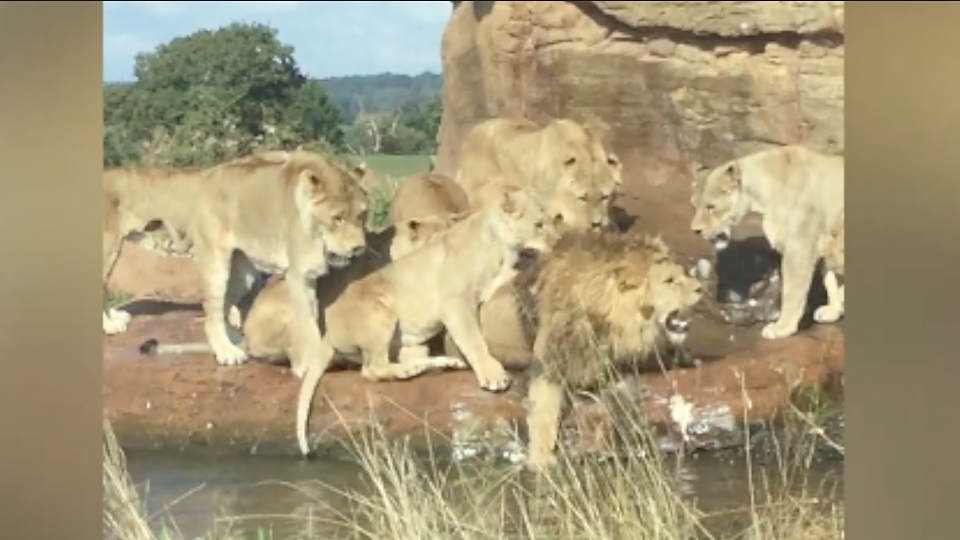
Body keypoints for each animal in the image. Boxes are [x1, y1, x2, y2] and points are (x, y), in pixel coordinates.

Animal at [295, 186, 562, 456]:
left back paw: (442, 363)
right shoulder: (456, 302)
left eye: (552, 221)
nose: (558, 242)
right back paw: (410, 370)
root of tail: (327, 332)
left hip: (411, 341)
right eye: (539, 225)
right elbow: (474, 340)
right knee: (372, 369)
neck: (503, 250)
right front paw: (492, 374)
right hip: (380, 310)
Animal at [513, 230, 705, 472]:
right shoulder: (549, 360)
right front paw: (540, 461)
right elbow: (543, 411)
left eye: (682, 274)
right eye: (669, 280)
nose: (701, 287)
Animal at [689, 145, 844, 340]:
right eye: (694, 205)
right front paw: (833, 311)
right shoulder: (823, 244)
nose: (695, 230)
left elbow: (792, 293)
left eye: (711, 207)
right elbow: (830, 280)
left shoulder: (798, 251)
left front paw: (782, 328)